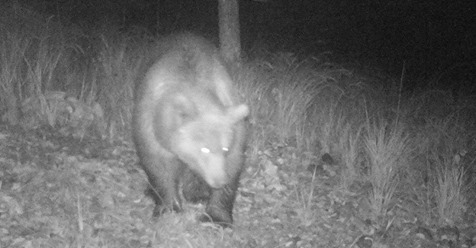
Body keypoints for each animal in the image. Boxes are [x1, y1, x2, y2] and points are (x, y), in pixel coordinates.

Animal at [131, 33, 249, 229]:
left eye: (224, 148)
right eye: (204, 149)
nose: (218, 180)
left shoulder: (234, 123)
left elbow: (233, 164)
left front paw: (217, 216)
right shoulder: (150, 125)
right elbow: (158, 166)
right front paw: (168, 208)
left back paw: (197, 193)